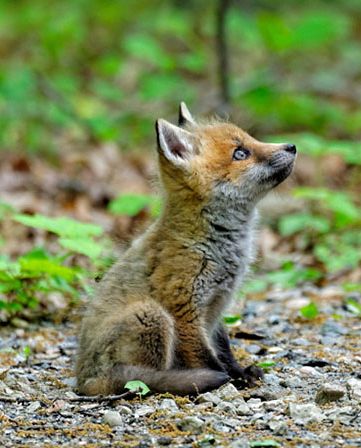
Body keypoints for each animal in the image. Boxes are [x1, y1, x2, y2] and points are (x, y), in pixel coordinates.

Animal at [76, 104, 296, 396]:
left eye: (251, 139)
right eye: (240, 153)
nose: (292, 146)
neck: (212, 246)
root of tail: (83, 380)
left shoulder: (216, 309)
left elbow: (224, 351)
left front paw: (240, 373)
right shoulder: (185, 310)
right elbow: (207, 359)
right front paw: (231, 380)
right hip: (152, 315)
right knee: (139, 380)